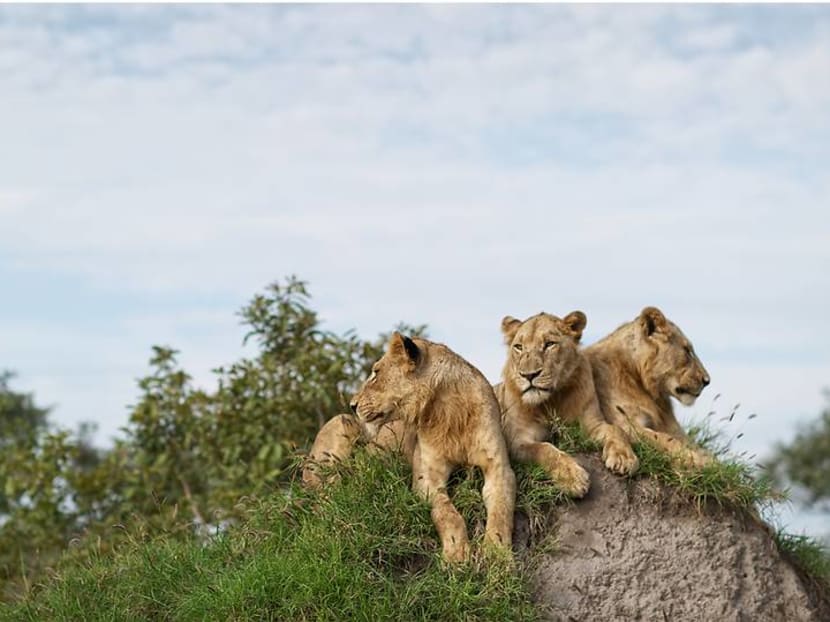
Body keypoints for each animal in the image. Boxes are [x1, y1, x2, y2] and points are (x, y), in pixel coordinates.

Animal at [306, 332, 516, 563]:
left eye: (376, 373)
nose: (352, 405)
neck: (448, 412)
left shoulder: (499, 468)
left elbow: (501, 510)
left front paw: (498, 553)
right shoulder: (427, 476)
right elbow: (447, 513)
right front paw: (456, 554)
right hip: (341, 424)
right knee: (326, 498)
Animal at [495, 311, 639, 498]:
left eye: (549, 344)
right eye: (519, 347)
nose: (529, 375)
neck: (551, 401)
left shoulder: (591, 425)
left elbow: (615, 430)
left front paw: (623, 458)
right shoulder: (516, 440)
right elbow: (544, 449)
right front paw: (572, 478)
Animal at [583, 306, 712, 467]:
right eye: (687, 351)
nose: (707, 381)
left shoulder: (674, 429)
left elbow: (699, 448)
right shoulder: (624, 423)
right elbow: (663, 438)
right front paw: (697, 460)